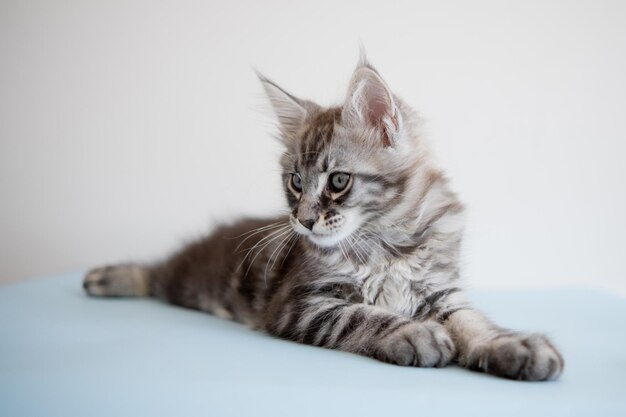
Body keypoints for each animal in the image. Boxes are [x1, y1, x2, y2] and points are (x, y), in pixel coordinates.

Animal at [80, 53, 564, 378]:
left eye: (337, 181)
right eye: (295, 181)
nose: (304, 220)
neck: (388, 245)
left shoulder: (442, 294)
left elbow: (474, 325)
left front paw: (514, 346)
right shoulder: (301, 302)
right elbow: (363, 316)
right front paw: (414, 334)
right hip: (191, 276)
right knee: (156, 273)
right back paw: (106, 278)